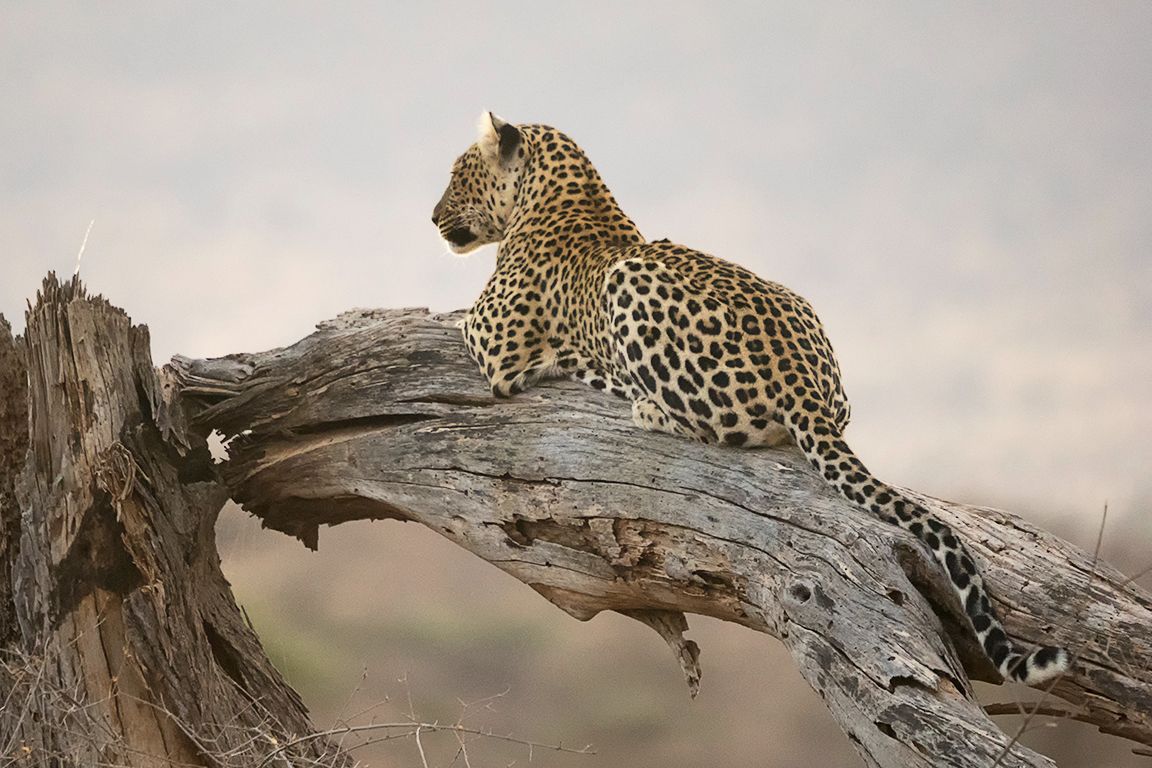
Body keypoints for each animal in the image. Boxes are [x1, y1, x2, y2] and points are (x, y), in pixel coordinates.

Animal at [431, 112, 1070, 686]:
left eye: (459, 172)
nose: (433, 217)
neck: (560, 195)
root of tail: (803, 384)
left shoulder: (492, 340)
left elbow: (455, 319)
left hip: (633, 283)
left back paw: (638, 401)